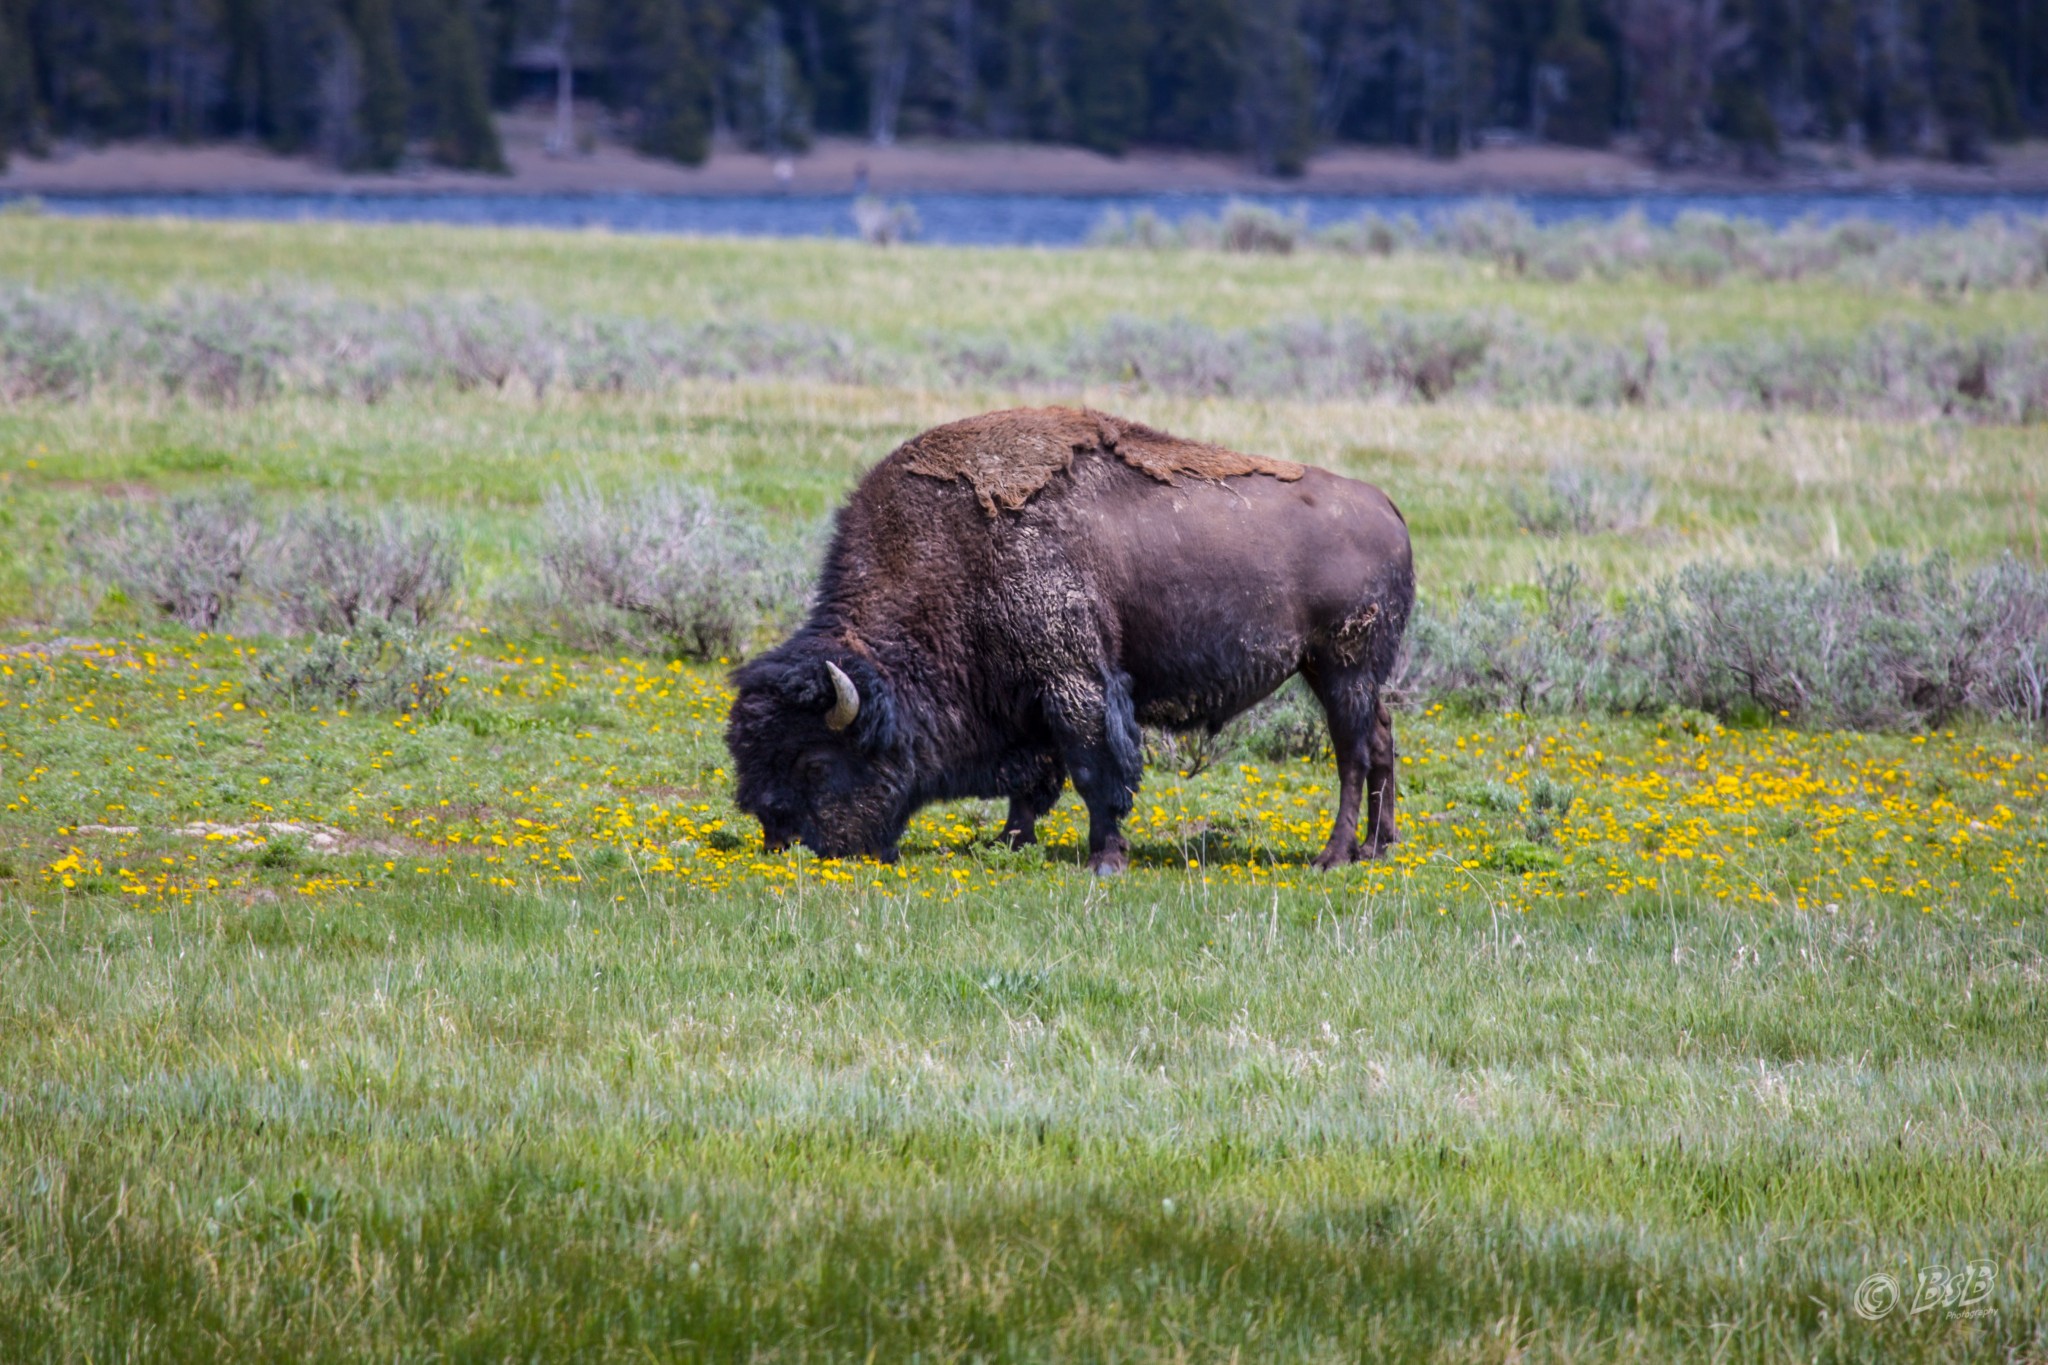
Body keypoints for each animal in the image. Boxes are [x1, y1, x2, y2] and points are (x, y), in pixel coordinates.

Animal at [726, 406, 1412, 875]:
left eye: (814, 763)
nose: (782, 843)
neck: (952, 561)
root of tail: (1386, 504)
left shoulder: (1074, 684)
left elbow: (1093, 770)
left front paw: (1105, 859)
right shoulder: (1032, 701)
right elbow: (1036, 781)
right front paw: (1011, 842)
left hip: (1342, 669)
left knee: (1352, 756)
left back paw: (1333, 855)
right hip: (1343, 675)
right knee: (1381, 742)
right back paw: (1377, 849)